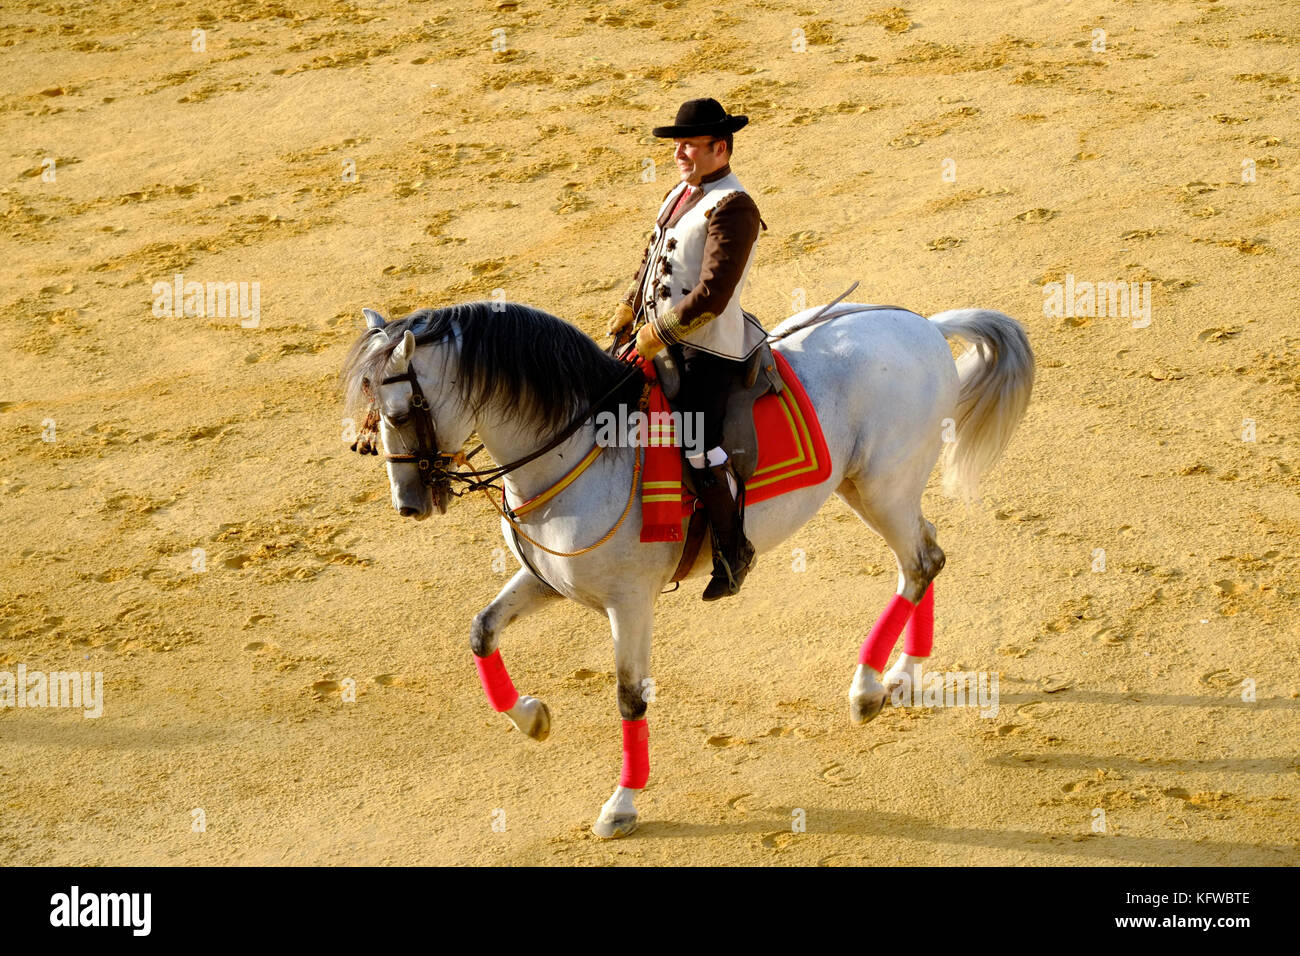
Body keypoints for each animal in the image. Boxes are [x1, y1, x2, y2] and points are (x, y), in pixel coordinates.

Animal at [340, 299, 1029, 837]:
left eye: (398, 414)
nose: (408, 504)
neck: (582, 447)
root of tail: (923, 326)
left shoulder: (629, 602)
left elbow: (629, 696)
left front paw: (621, 806)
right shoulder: (547, 581)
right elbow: (481, 630)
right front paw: (533, 718)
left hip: (882, 489)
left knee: (920, 561)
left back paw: (866, 690)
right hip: (868, 490)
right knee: (923, 558)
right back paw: (902, 677)